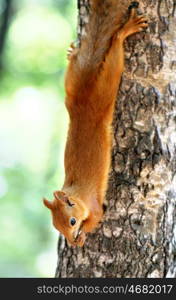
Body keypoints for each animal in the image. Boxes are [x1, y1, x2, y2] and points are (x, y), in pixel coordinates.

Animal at [43, 0, 148, 246]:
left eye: (72, 222)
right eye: (56, 227)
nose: (71, 241)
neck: (77, 194)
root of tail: (84, 99)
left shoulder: (94, 206)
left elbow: (95, 219)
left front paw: (82, 236)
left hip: (104, 92)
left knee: (114, 57)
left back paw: (124, 31)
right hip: (72, 83)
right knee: (76, 67)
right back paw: (73, 53)